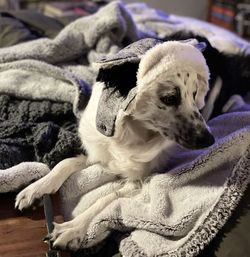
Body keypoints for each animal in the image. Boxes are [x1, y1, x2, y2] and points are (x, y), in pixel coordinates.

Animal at [14, 39, 214, 249]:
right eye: (169, 98)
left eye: (195, 94)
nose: (210, 140)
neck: (130, 133)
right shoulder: (100, 155)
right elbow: (65, 162)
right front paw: (36, 188)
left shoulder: (137, 182)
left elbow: (106, 198)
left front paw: (73, 227)